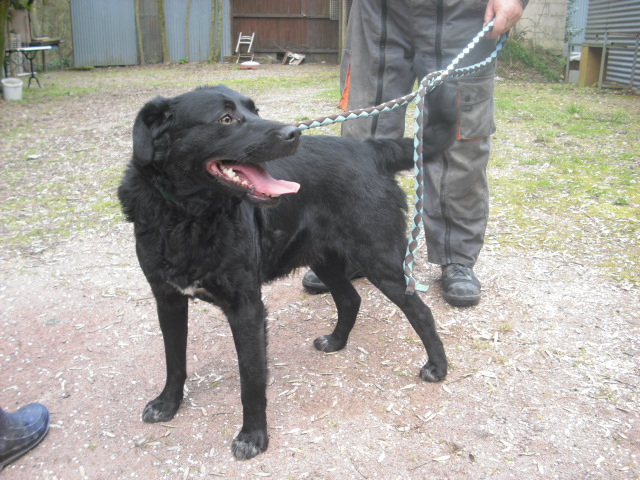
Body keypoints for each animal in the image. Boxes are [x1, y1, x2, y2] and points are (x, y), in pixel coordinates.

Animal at [119, 84, 450, 460]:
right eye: (225, 118)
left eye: (255, 111)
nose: (294, 133)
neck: (187, 217)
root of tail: (370, 149)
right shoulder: (168, 299)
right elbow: (174, 360)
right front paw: (167, 404)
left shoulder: (247, 309)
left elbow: (251, 379)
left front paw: (252, 436)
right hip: (324, 257)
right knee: (350, 299)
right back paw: (336, 341)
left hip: (378, 256)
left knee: (420, 311)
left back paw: (438, 367)